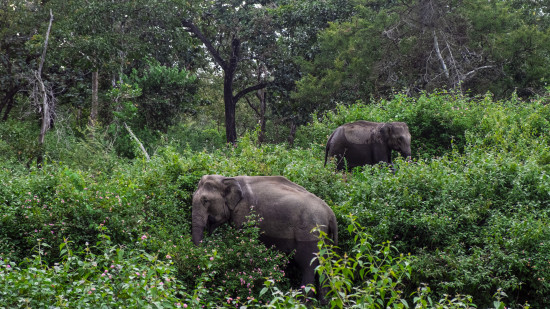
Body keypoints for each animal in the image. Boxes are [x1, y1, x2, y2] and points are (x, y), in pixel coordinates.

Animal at [194, 173, 340, 296]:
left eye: (205, 200)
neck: (228, 178)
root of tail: (331, 215)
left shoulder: (244, 214)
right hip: (326, 238)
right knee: (325, 266)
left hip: (310, 235)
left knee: (308, 267)